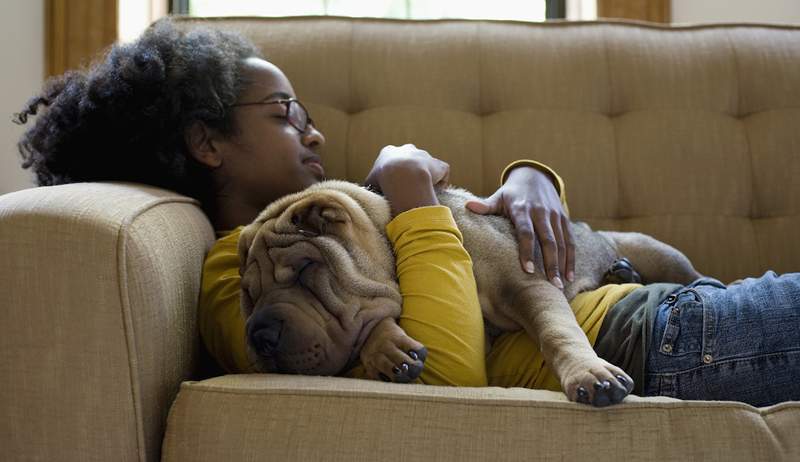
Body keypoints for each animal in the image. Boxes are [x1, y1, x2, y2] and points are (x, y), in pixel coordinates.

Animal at [238, 180, 700, 404]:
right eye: (249, 296)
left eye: (305, 269)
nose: (259, 336)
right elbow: (371, 320)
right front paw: (386, 347)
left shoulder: (529, 284)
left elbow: (558, 332)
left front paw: (589, 373)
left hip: (655, 249)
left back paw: (626, 270)